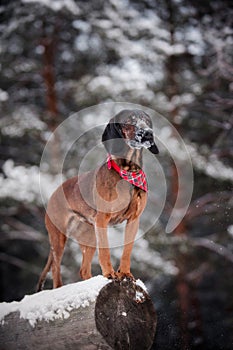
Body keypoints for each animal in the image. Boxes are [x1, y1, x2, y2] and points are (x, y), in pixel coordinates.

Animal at [37, 108, 159, 290]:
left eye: (147, 121)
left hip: (89, 236)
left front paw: (125, 274)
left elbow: (127, 251)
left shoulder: (133, 220)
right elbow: (105, 251)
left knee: (83, 270)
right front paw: (109, 274)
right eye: (129, 120)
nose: (148, 133)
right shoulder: (102, 219)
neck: (128, 171)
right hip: (58, 238)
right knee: (56, 269)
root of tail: (54, 192)